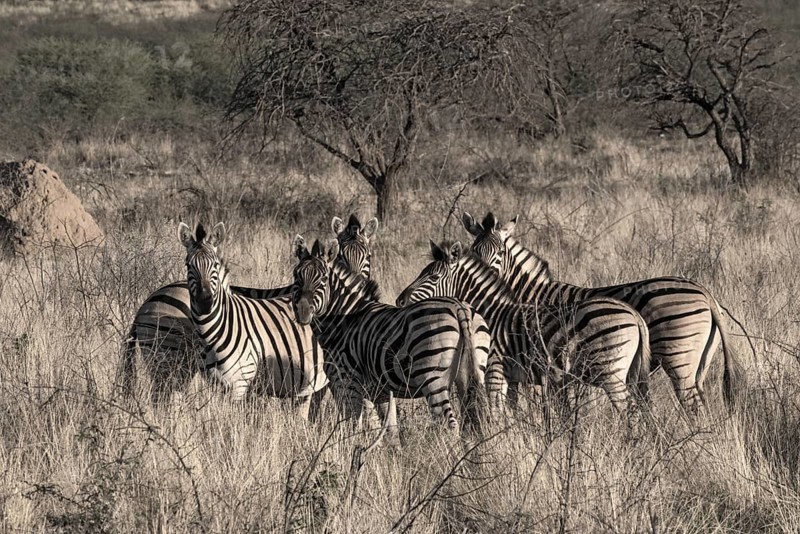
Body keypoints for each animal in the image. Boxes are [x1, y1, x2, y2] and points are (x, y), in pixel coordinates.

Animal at [291, 235, 491, 432]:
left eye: (323, 279)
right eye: (296, 276)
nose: (302, 311)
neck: (343, 318)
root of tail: (459, 307)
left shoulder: (346, 382)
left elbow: (352, 426)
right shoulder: (380, 391)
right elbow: (387, 429)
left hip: (432, 378)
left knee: (450, 424)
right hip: (472, 371)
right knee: (471, 420)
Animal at [396, 240, 651, 415]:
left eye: (433, 277)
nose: (399, 300)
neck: (492, 313)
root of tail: (634, 314)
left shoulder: (494, 370)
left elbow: (497, 412)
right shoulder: (513, 378)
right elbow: (512, 413)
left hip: (611, 372)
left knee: (630, 412)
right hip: (629, 372)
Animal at [463, 211, 741, 412]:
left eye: (500, 252)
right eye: (474, 251)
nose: (485, 273)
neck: (527, 295)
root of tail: (704, 292)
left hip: (678, 357)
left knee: (692, 405)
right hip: (699, 362)